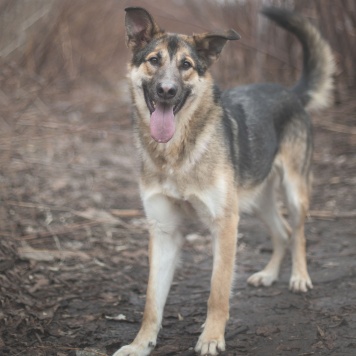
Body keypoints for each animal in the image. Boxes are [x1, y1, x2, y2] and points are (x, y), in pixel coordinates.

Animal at [113, 6, 334, 356]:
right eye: (154, 60)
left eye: (186, 65)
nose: (166, 91)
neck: (177, 153)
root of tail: (290, 92)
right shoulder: (163, 231)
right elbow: (151, 301)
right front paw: (140, 344)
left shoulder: (225, 223)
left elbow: (217, 292)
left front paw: (212, 338)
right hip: (256, 201)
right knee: (282, 232)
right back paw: (268, 275)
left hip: (293, 191)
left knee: (297, 232)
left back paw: (299, 277)